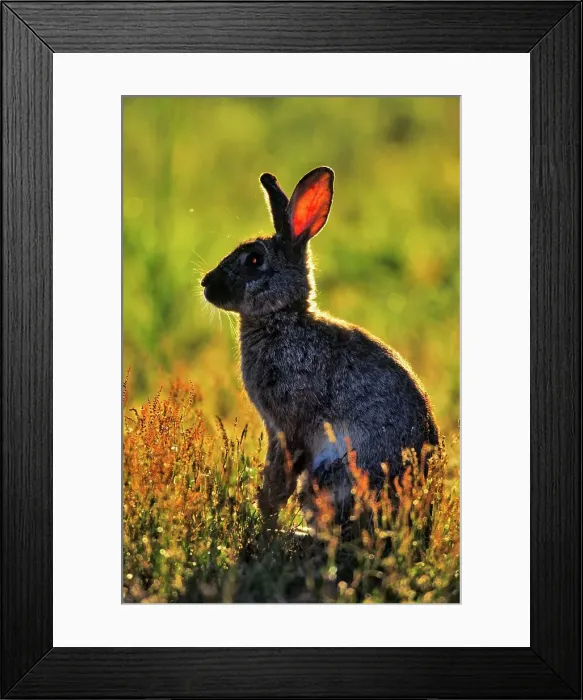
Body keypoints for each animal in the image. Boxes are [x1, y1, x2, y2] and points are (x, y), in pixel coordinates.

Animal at [201, 166, 440, 529]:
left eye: (254, 259)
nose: (205, 284)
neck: (283, 317)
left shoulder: (289, 427)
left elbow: (280, 478)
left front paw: (267, 521)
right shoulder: (276, 428)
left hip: (331, 476)